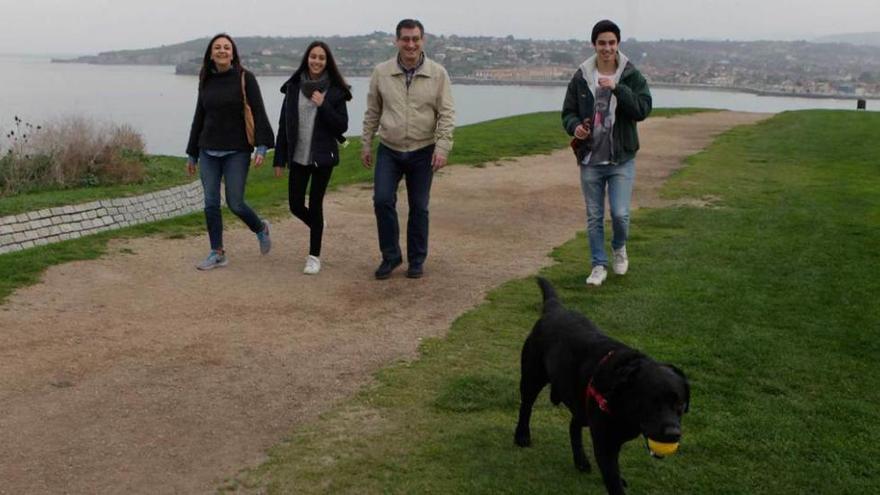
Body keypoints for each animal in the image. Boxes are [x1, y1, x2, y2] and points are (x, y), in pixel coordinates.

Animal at [512, 278, 692, 494]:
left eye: (680, 405)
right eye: (651, 403)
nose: (673, 434)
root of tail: (555, 308)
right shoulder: (605, 443)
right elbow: (612, 479)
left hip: (581, 405)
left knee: (573, 425)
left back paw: (580, 461)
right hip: (532, 377)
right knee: (526, 406)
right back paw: (522, 436)